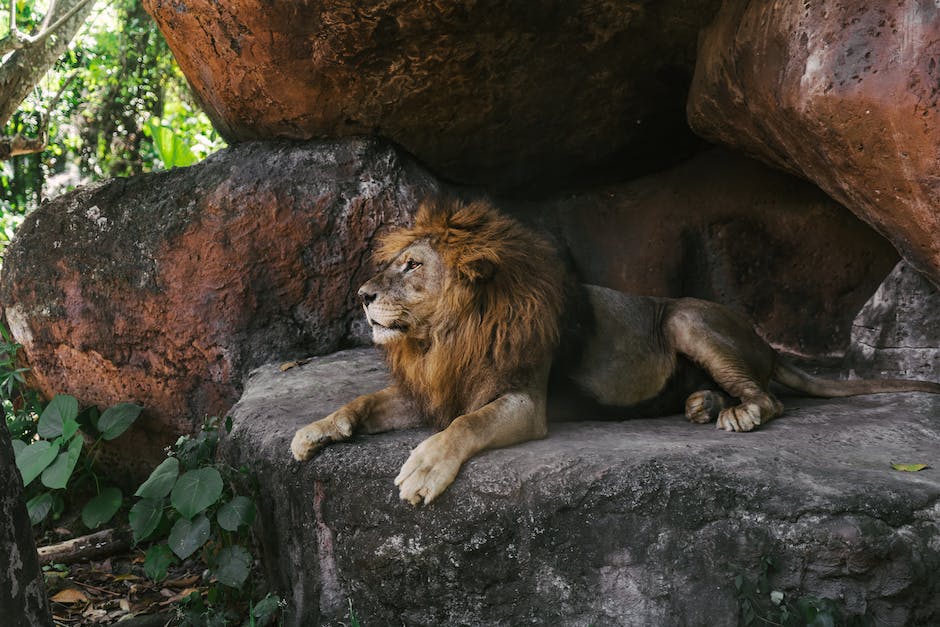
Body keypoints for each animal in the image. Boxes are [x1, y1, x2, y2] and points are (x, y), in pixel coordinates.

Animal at [290, 199, 940, 508]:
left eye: (411, 265)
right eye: (395, 263)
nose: (362, 294)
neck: (443, 338)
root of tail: (761, 339)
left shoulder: (522, 401)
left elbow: (465, 426)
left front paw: (423, 469)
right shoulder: (427, 392)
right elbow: (362, 402)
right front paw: (315, 431)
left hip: (685, 317)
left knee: (770, 398)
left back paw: (735, 413)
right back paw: (702, 404)